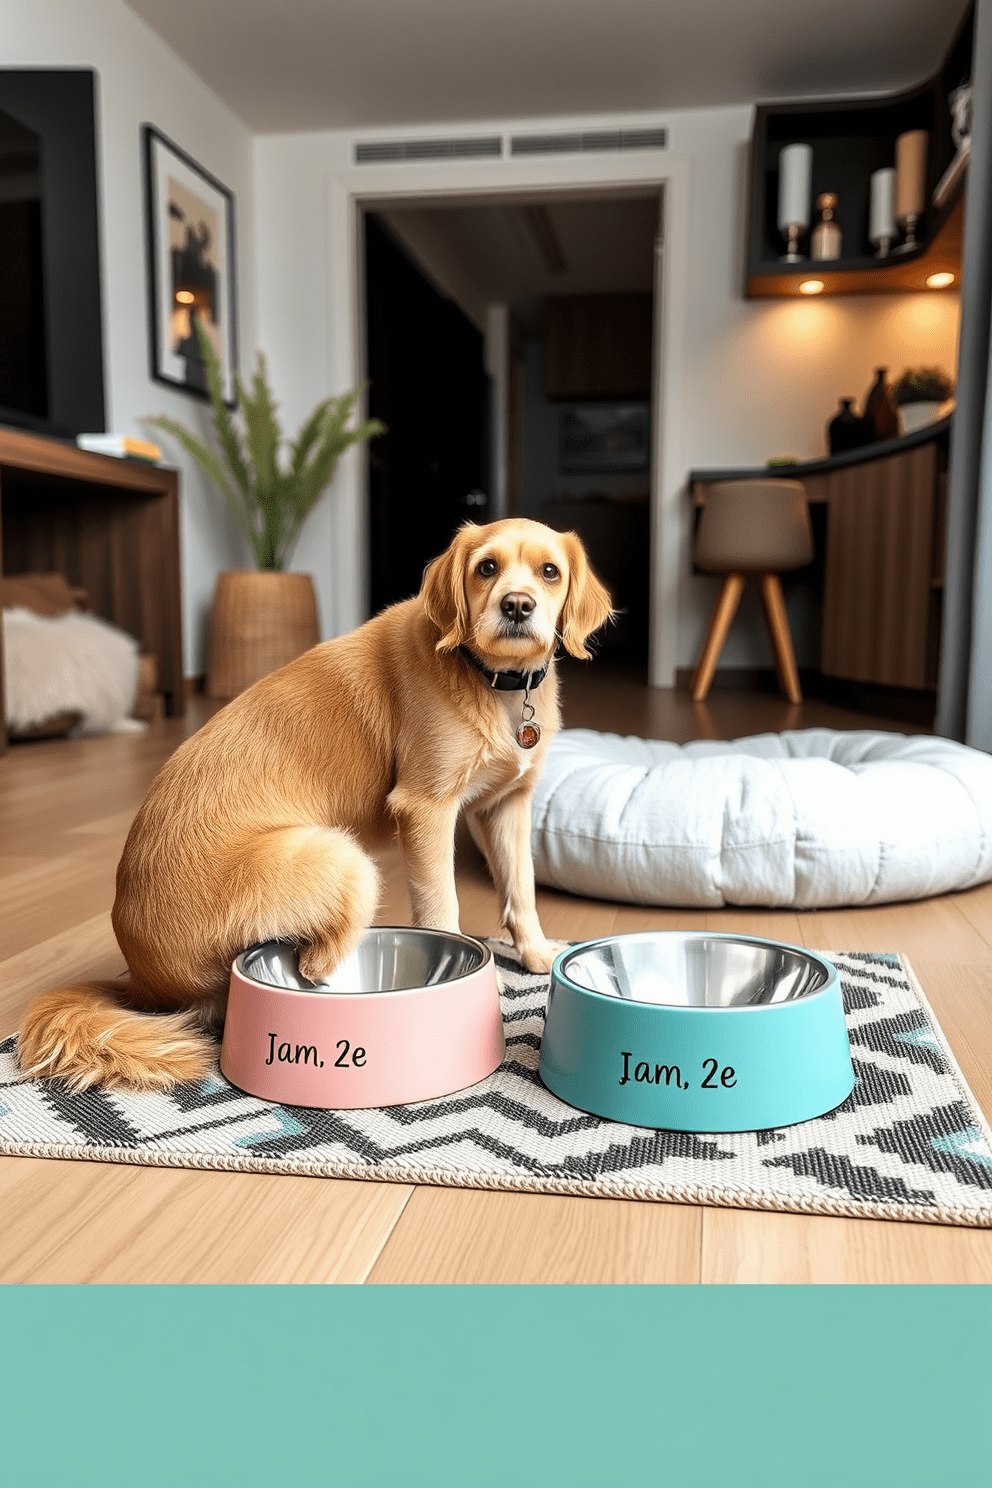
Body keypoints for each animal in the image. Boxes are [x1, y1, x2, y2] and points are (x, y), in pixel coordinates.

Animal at [19, 520, 612, 1095]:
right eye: (486, 567)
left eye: (550, 572)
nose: (517, 605)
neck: (497, 681)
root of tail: (142, 984)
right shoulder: (426, 808)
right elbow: (442, 905)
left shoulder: (506, 806)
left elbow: (521, 888)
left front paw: (536, 954)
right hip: (341, 857)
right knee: (315, 961)